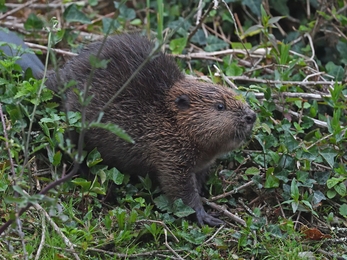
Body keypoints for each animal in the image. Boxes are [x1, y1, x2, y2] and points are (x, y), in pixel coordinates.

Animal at [0, 31, 256, 225]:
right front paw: (205, 216)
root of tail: (52, 78)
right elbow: (179, 189)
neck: (166, 117)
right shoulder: (169, 153)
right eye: (220, 106)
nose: (251, 116)